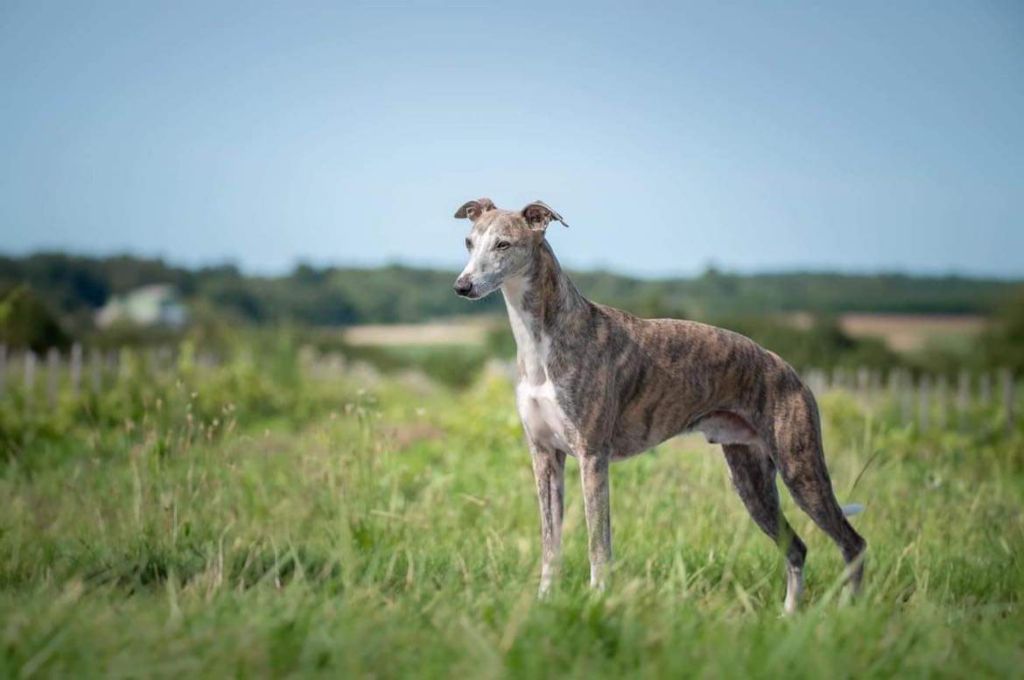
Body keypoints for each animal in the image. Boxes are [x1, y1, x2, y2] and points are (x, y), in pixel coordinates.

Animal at [452, 197, 860, 610]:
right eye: (469, 242)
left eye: (503, 244)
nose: (462, 286)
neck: (543, 341)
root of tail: (788, 369)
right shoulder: (544, 454)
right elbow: (551, 544)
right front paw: (544, 601)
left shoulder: (592, 456)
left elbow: (599, 544)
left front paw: (598, 600)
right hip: (752, 479)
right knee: (797, 548)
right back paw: (789, 616)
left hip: (800, 468)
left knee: (852, 543)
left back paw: (847, 611)